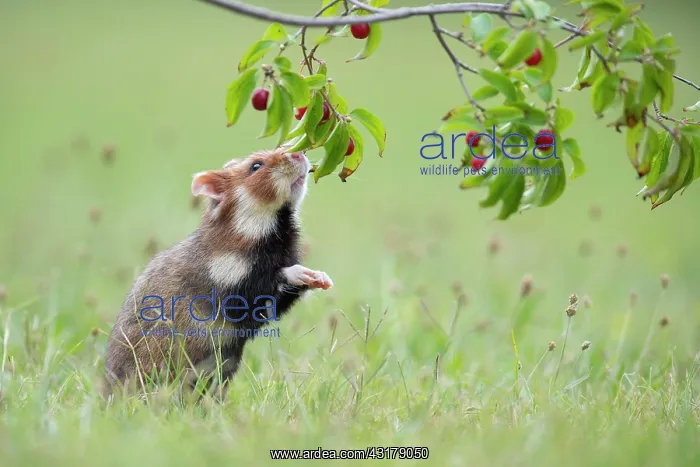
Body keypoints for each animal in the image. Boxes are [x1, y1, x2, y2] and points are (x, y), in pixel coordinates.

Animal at [103, 148, 332, 396]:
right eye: (255, 166)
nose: (299, 152)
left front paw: (321, 278)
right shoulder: (230, 286)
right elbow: (270, 281)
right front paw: (301, 273)